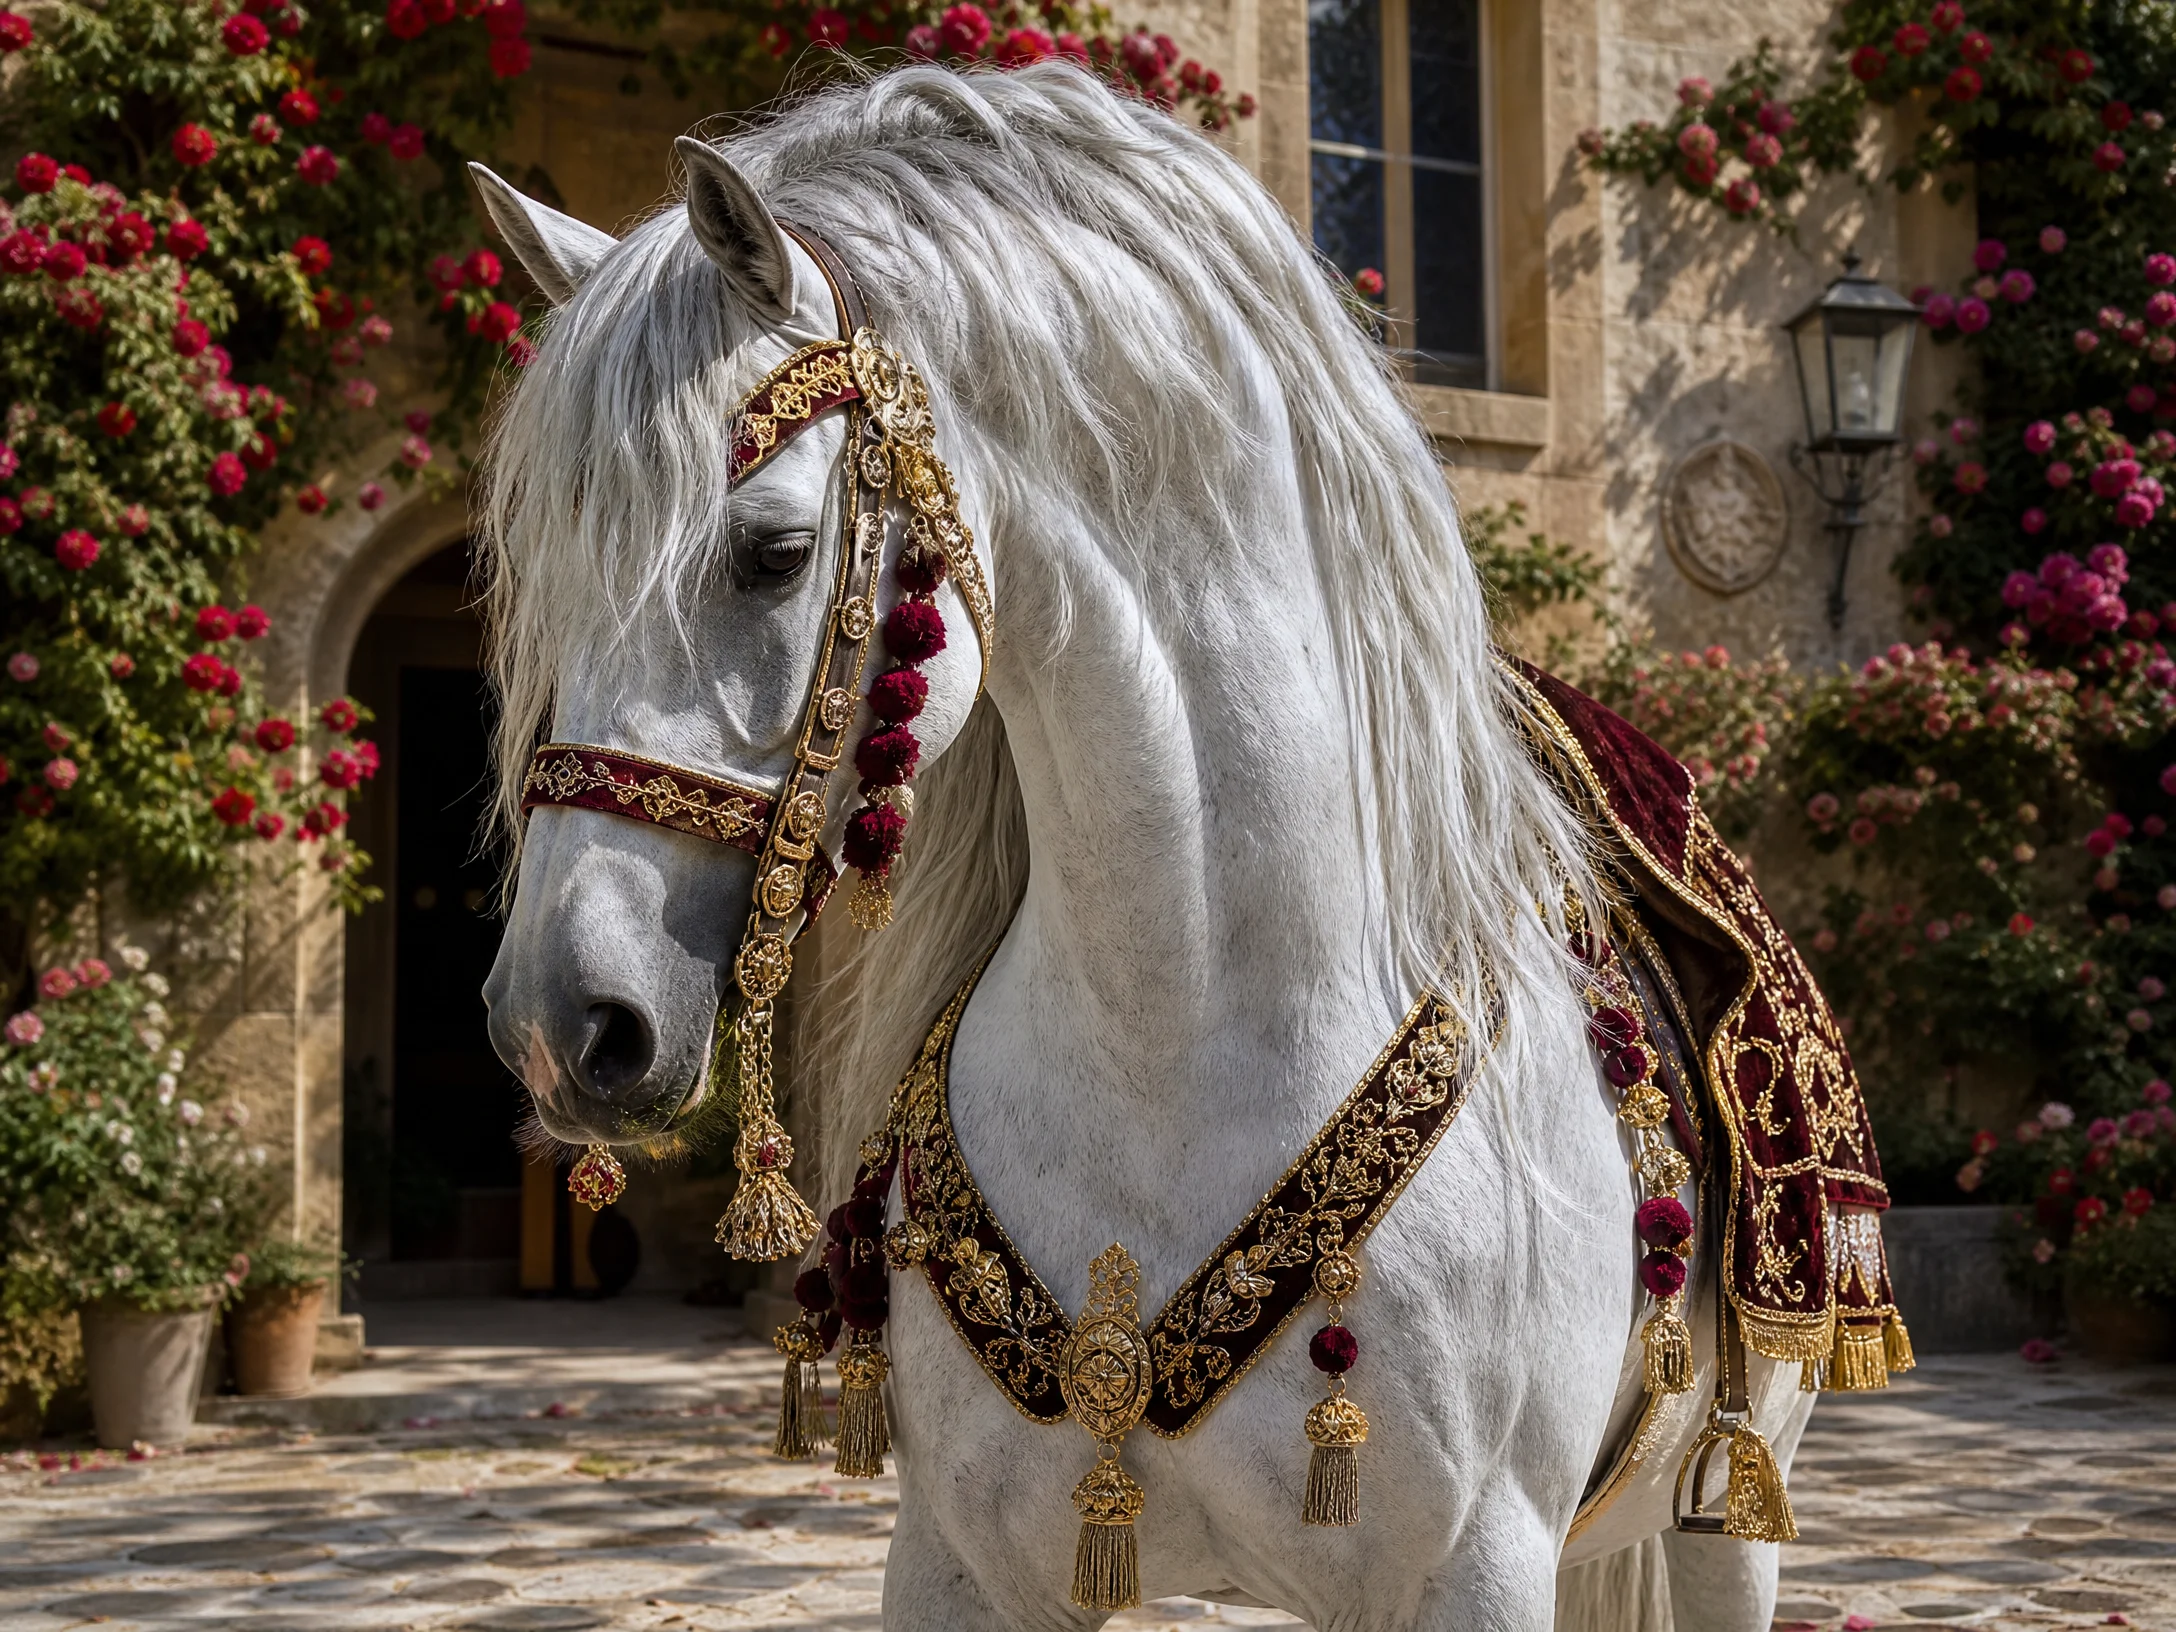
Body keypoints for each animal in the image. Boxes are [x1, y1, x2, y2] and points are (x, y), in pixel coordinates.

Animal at [472, 63, 1815, 1631]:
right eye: (540, 576)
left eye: (776, 551)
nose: (561, 1022)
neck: (1177, 1025)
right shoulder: (963, 1564)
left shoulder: (1474, 1568)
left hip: (1728, 1512)